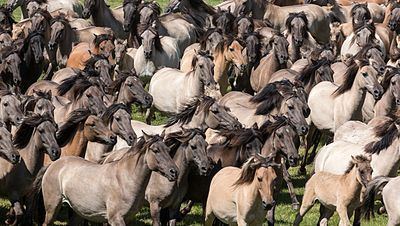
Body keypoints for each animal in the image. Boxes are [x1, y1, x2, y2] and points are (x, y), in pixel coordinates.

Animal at [34, 134, 178, 224]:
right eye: (155, 150)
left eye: (168, 149)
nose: (174, 172)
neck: (125, 180)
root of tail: (53, 165)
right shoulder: (116, 219)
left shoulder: (127, 218)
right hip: (52, 208)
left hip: (76, 212)